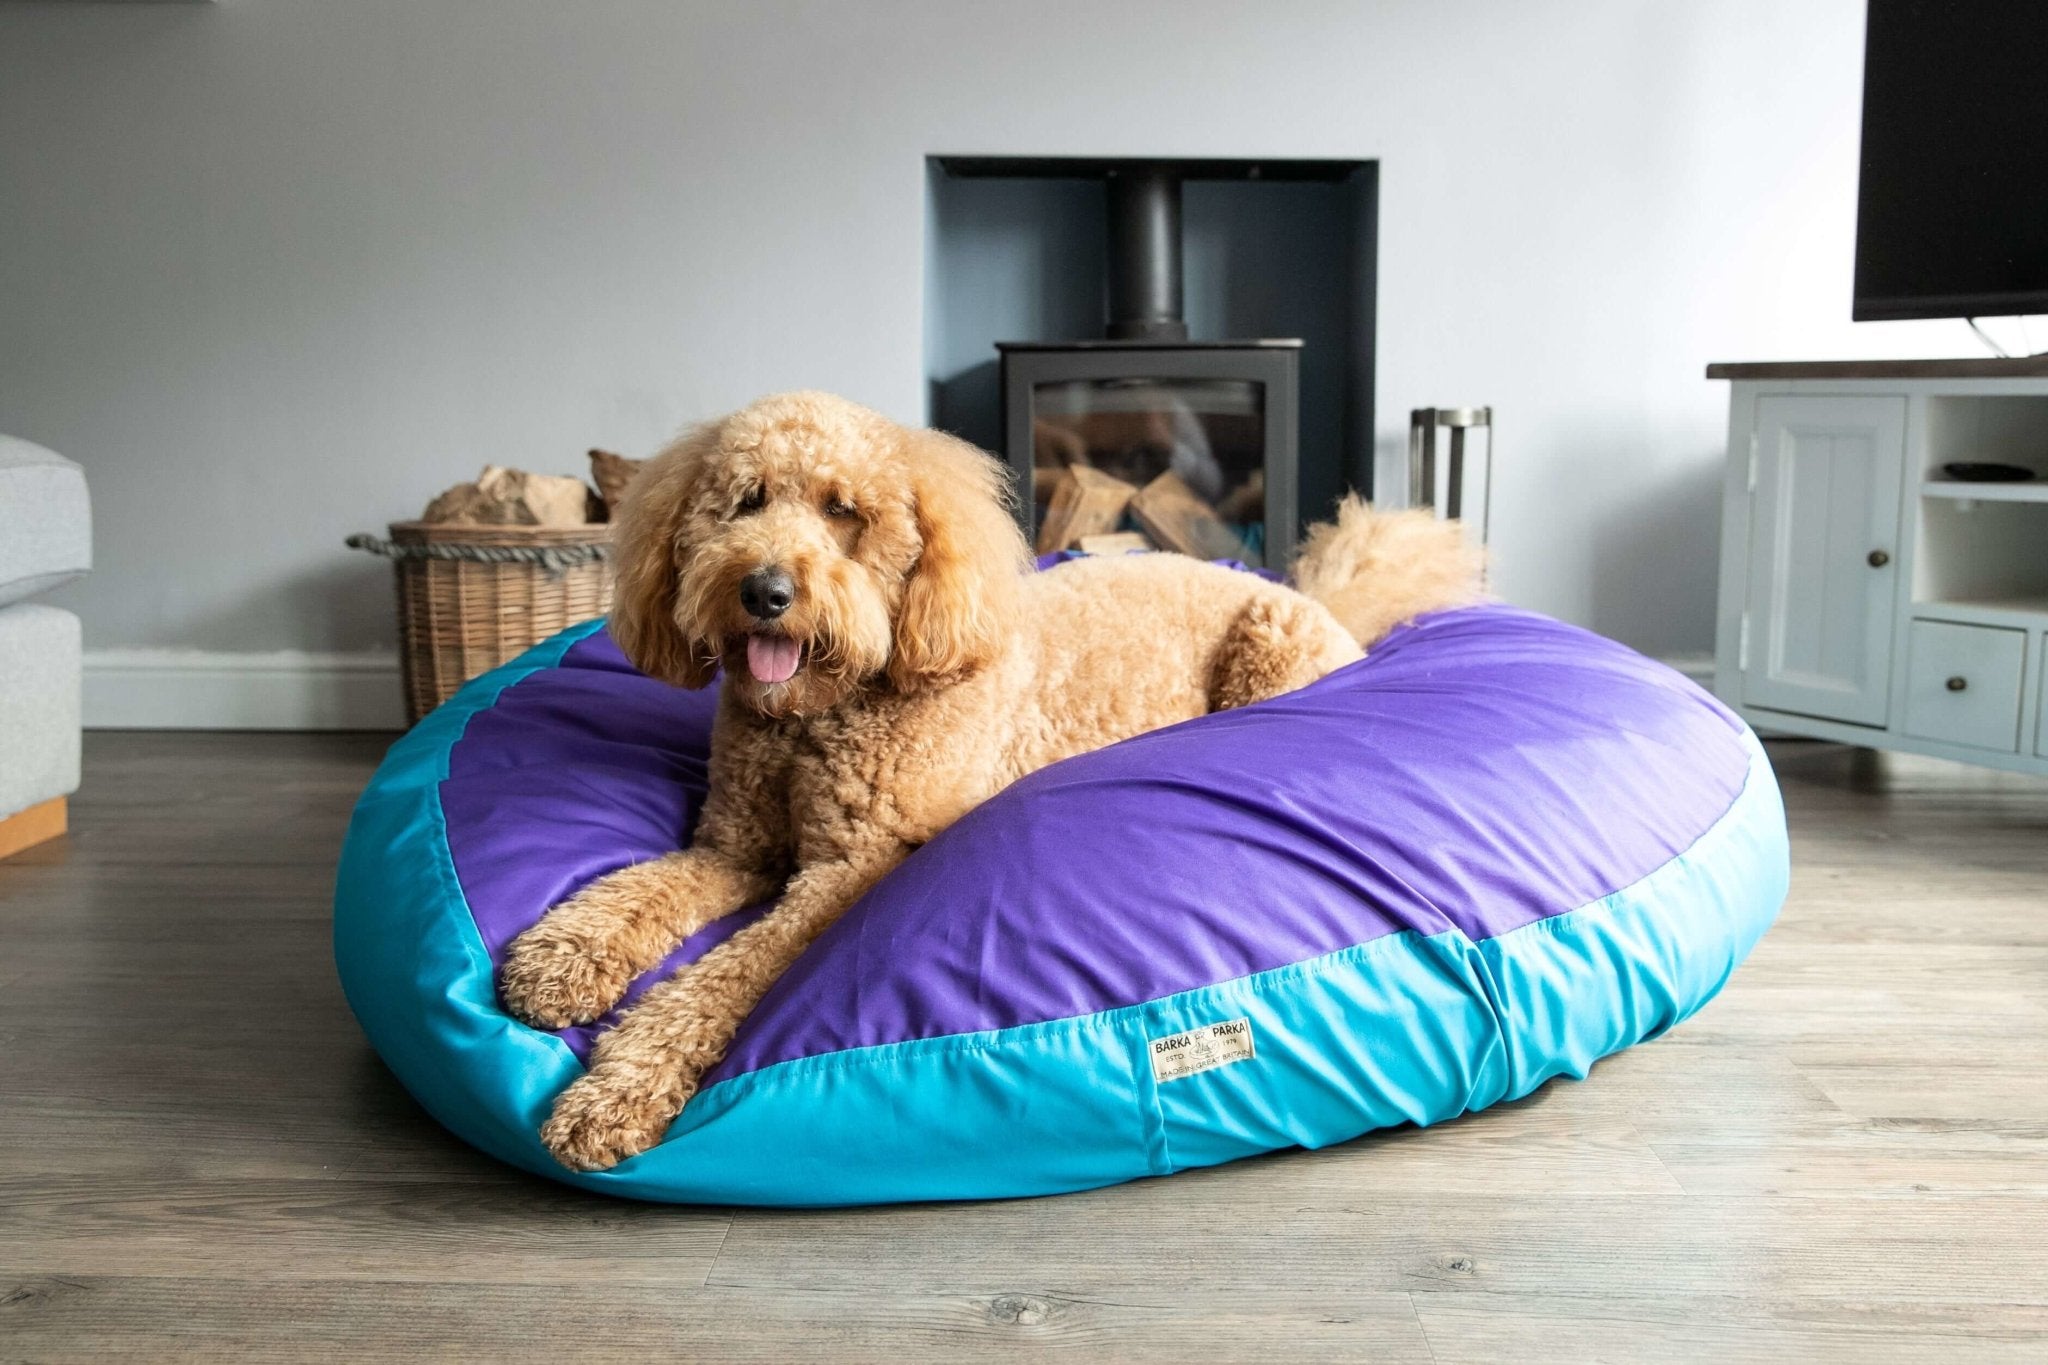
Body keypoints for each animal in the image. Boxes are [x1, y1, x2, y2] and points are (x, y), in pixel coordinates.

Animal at [501, 388, 1482, 1170]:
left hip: (1271, 648)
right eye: (745, 502)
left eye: (844, 510)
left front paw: (616, 1088)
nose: (766, 591)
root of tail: (1324, 604)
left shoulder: (848, 874)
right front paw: (559, 960)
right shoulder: (733, 846)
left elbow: (726, 973)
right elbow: (639, 887)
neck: (819, 715)